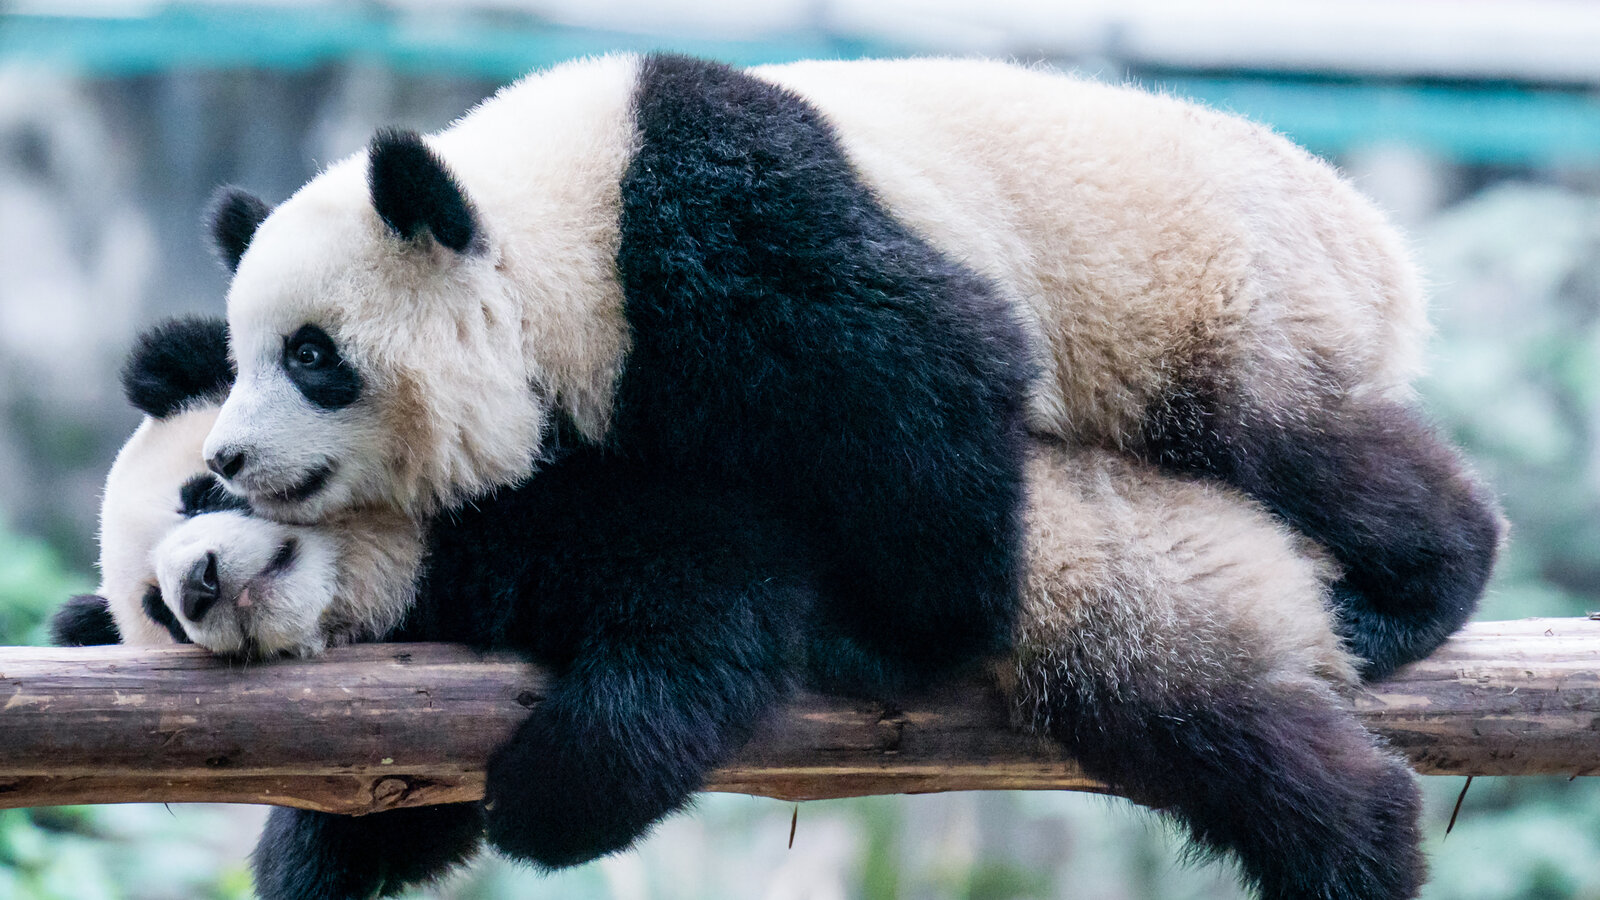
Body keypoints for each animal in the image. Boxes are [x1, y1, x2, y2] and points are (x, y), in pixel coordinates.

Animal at [58, 316, 1422, 900]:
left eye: (203, 487)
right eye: (154, 613)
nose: (199, 583)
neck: (402, 557)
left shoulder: (575, 481)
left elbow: (711, 600)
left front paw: (547, 803)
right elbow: (394, 807)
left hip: (1131, 583)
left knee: (1226, 740)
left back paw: (1368, 847)